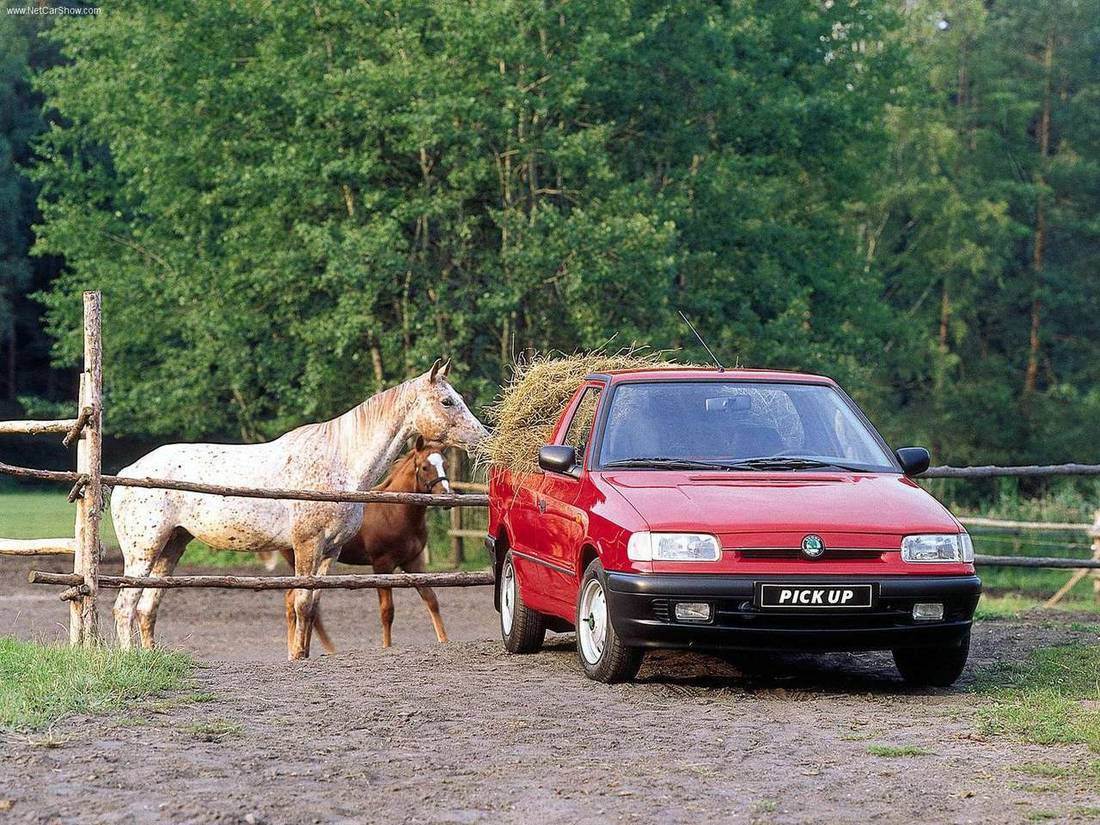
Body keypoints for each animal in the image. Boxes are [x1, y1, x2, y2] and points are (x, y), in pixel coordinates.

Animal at [283, 440, 455, 651]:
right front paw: (387, 646)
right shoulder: (382, 565)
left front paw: (444, 640)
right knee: (295, 602)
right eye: (425, 467)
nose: (446, 497)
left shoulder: (413, 562)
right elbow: (387, 611)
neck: (394, 510)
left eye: (446, 464)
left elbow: (431, 600)